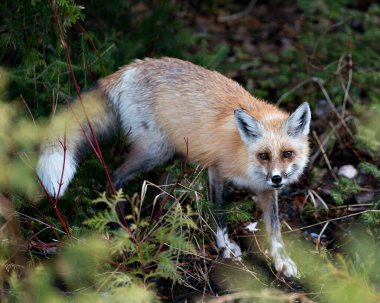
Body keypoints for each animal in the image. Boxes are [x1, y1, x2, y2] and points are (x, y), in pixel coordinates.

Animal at [37, 57, 312, 278]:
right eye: (264, 155)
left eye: (287, 154)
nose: (277, 178)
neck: (244, 154)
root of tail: (131, 67)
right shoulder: (217, 172)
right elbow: (219, 215)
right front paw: (225, 248)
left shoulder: (265, 190)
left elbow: (275, 229)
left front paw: (282, 261)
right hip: (155, 151)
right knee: (114, 176)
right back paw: (120, 225)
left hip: (175, 154)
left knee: (160, 191)